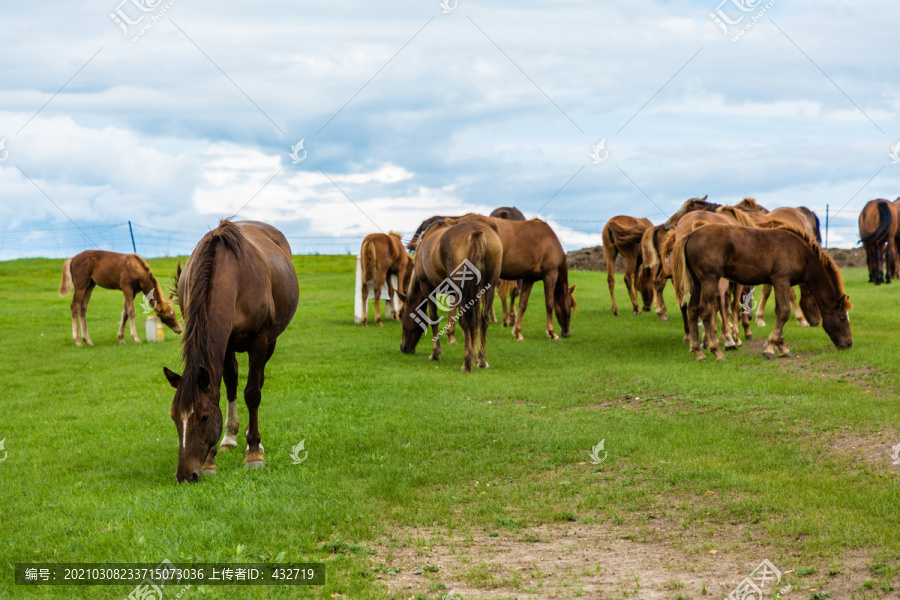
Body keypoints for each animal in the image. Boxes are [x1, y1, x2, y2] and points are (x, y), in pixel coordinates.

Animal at [162, 220, 298, 482]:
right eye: (174, 417)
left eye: (204, 417)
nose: (185, 475)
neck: (232, 276)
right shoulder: (223, 345)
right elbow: (225, 386)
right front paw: (211, 460)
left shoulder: (260, 340)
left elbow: (253, 393)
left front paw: (254, 453)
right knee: (233, 382)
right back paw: (230, 438)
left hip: (271, 342)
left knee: (258, 380)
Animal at [402, 220, 506, 370]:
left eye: (401, 316)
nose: (403, 347)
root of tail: (476, 230)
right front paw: (474, 356)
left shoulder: (427, 286)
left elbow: (433, 318)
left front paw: (436, 353)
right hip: (489, 287)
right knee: (482, 319)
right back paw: (482, 360)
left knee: (464, 320)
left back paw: (467, 362)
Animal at [444, 213, 576, 340]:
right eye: (570, 305)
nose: (567, 333)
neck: (550, 241)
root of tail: (456, 222)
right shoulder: (550, 274)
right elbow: (549, 304)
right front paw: (552, 333)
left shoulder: (529, 278)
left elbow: (522, 304)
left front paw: (518, 332)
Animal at [672, 221, 856, 358]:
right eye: (842, 318)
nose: (849, 344)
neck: (801, 253)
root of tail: (690, 235)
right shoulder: (781, 280)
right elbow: (784, 312)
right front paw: (770, 347)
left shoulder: (779, 283)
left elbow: (779, 311)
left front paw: (781, 347)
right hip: (709, 280)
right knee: (706, 310)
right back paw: (716, 351)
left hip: (697, 282)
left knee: (693, 309)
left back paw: (698, 351)